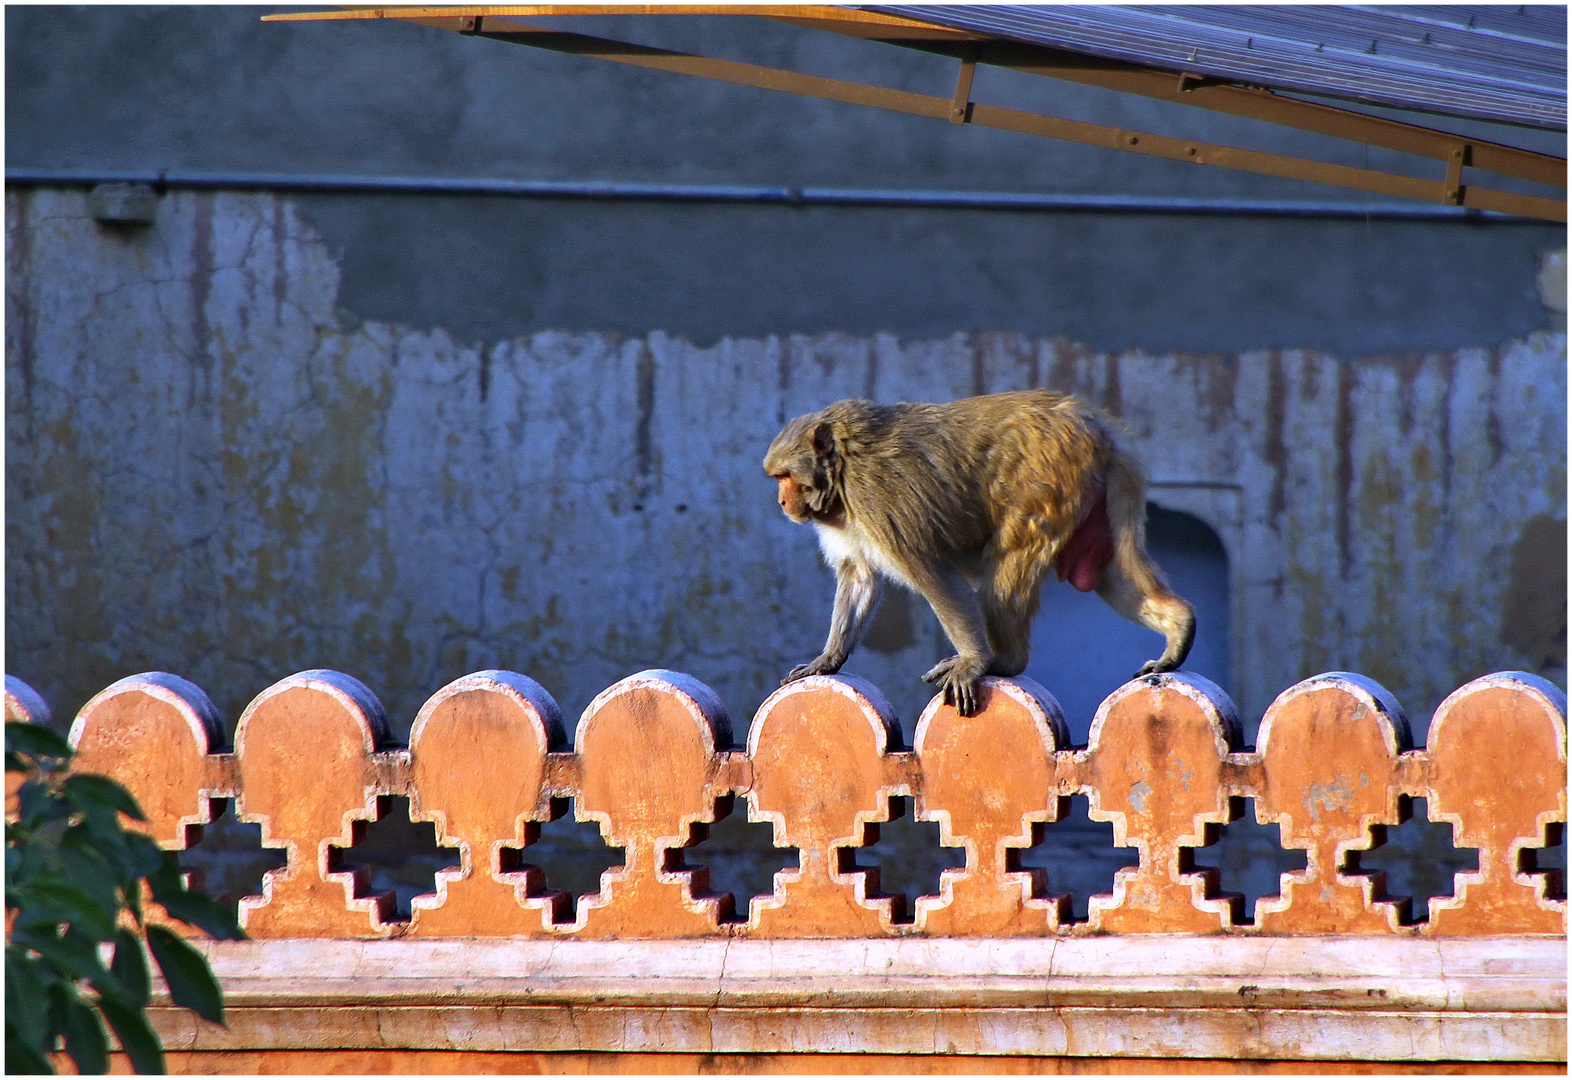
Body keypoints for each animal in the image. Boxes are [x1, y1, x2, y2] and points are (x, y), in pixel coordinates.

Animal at [760, 391, 1188, 716]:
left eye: (786, 476)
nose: (781, 501)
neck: (843, 468)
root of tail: (1091, 423)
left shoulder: (877, 497)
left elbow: (932, 575)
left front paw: (972, 663)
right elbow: (859, 578)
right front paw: (829, 658)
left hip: (1046, 481)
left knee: (1005, 571)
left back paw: (1005, 661)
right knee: (1107, 571)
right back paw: (1180, 625)